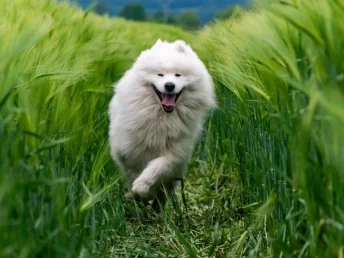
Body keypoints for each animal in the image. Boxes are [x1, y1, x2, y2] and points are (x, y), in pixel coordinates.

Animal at [108, 39, 215, 207]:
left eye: (178, 75)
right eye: (160, 74)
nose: (169, 85)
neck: (161, 118)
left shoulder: (176, 153)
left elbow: (157, 167)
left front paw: (143, 187)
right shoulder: (128, 151)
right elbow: (134, 173)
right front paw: (138, 193)